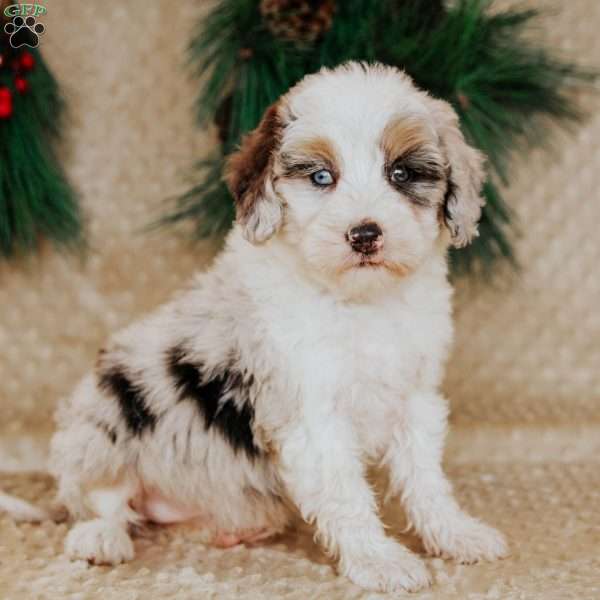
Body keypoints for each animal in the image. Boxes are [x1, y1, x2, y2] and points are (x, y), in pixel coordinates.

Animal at [50, 63, 506, 592]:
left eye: (401, 173)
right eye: (321, 176)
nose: (365, 235)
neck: (360, 304)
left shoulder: (414, 399)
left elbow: (425, 480)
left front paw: (455, 534)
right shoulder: (313, 414)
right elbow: (347, 495)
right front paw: (379, 560)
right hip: (105, 417)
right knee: (103, 499)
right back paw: (100, 537)